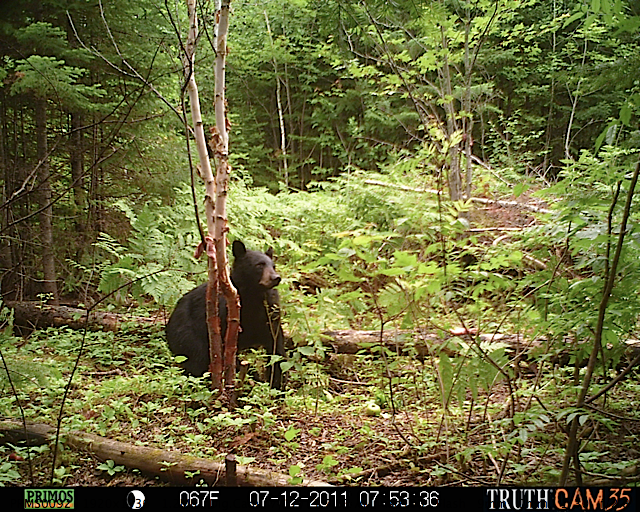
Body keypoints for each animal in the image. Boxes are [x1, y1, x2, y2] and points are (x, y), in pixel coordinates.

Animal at [166, 240, 284, 388]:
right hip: (187, 336)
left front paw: (276, 384)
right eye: (259, 265)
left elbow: (276, 346)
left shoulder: (270, 314)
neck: (254, 297)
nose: (276, 277)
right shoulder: (225, 316)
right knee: (197, 361)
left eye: (273, 266)